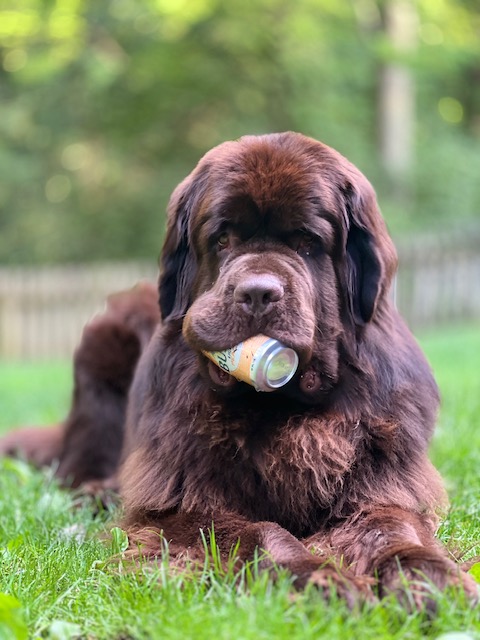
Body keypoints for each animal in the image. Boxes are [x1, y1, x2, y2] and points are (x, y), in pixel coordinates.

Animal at [1, 132, 478, 608]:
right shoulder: (179, 506)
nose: (257, 293)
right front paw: (315, 577)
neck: (279, 407)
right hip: (103, 347)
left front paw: (428, 577)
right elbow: (259, 533)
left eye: (306, 242)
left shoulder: (381, 482)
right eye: (223, 239)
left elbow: (391, 527)